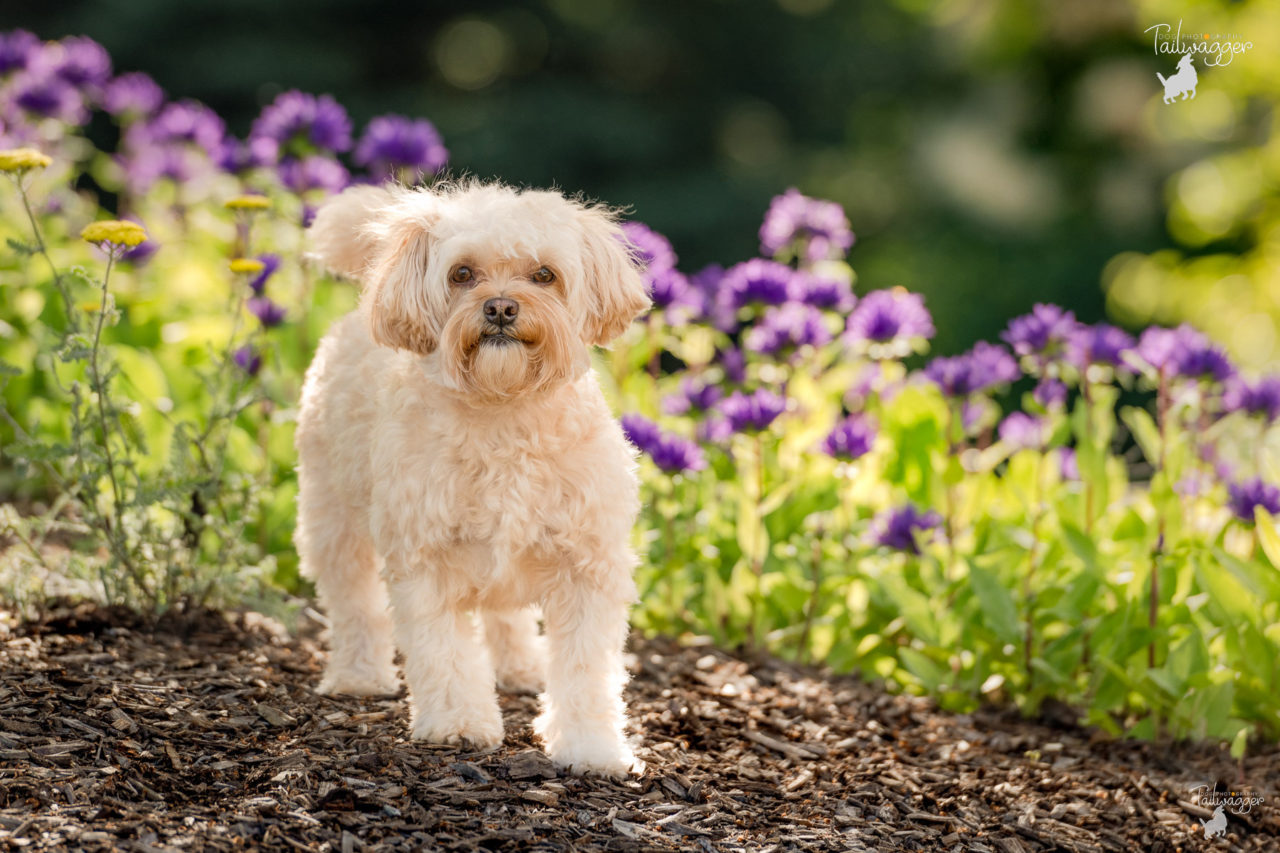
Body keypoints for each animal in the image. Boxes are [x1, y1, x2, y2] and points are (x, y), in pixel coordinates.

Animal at [296, 179, 650, 768]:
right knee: (353, 603)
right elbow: (445, 653)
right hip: (332, 516)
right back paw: (358, 676)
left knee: (506, 616)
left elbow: (585, 670)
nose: (501, 307)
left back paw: (522, 668)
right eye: (462, 273)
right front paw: (459, 724)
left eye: (544, 275)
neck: (503, 412)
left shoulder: (587, 564)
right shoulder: (424, 559)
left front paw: (590, 746)